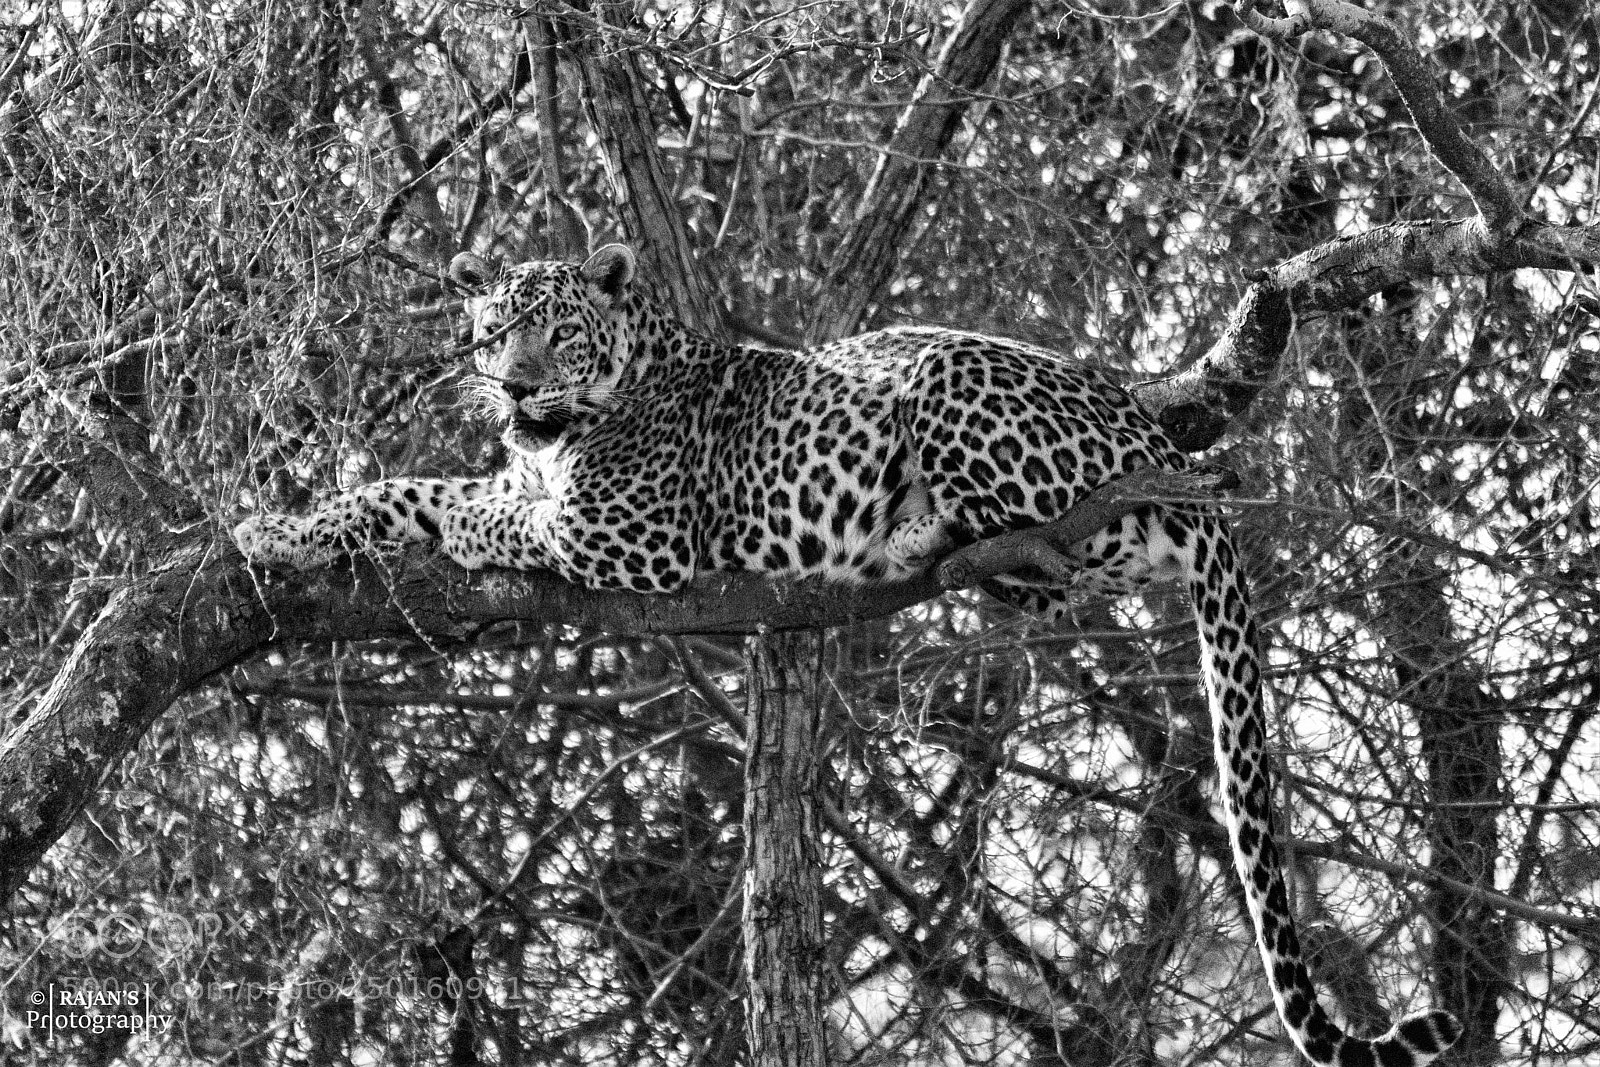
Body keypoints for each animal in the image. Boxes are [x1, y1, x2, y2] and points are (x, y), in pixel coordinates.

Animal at [234, 243, 1461, 1066]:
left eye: (559, 330)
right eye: (496, 330)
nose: (519, 382)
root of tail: (1155, 435)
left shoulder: (620, 533)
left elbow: (477, 511)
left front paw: (293, 525)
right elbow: (417, 487)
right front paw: (280, 529)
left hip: (957, 390)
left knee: (1049, 550)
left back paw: (918, 531)